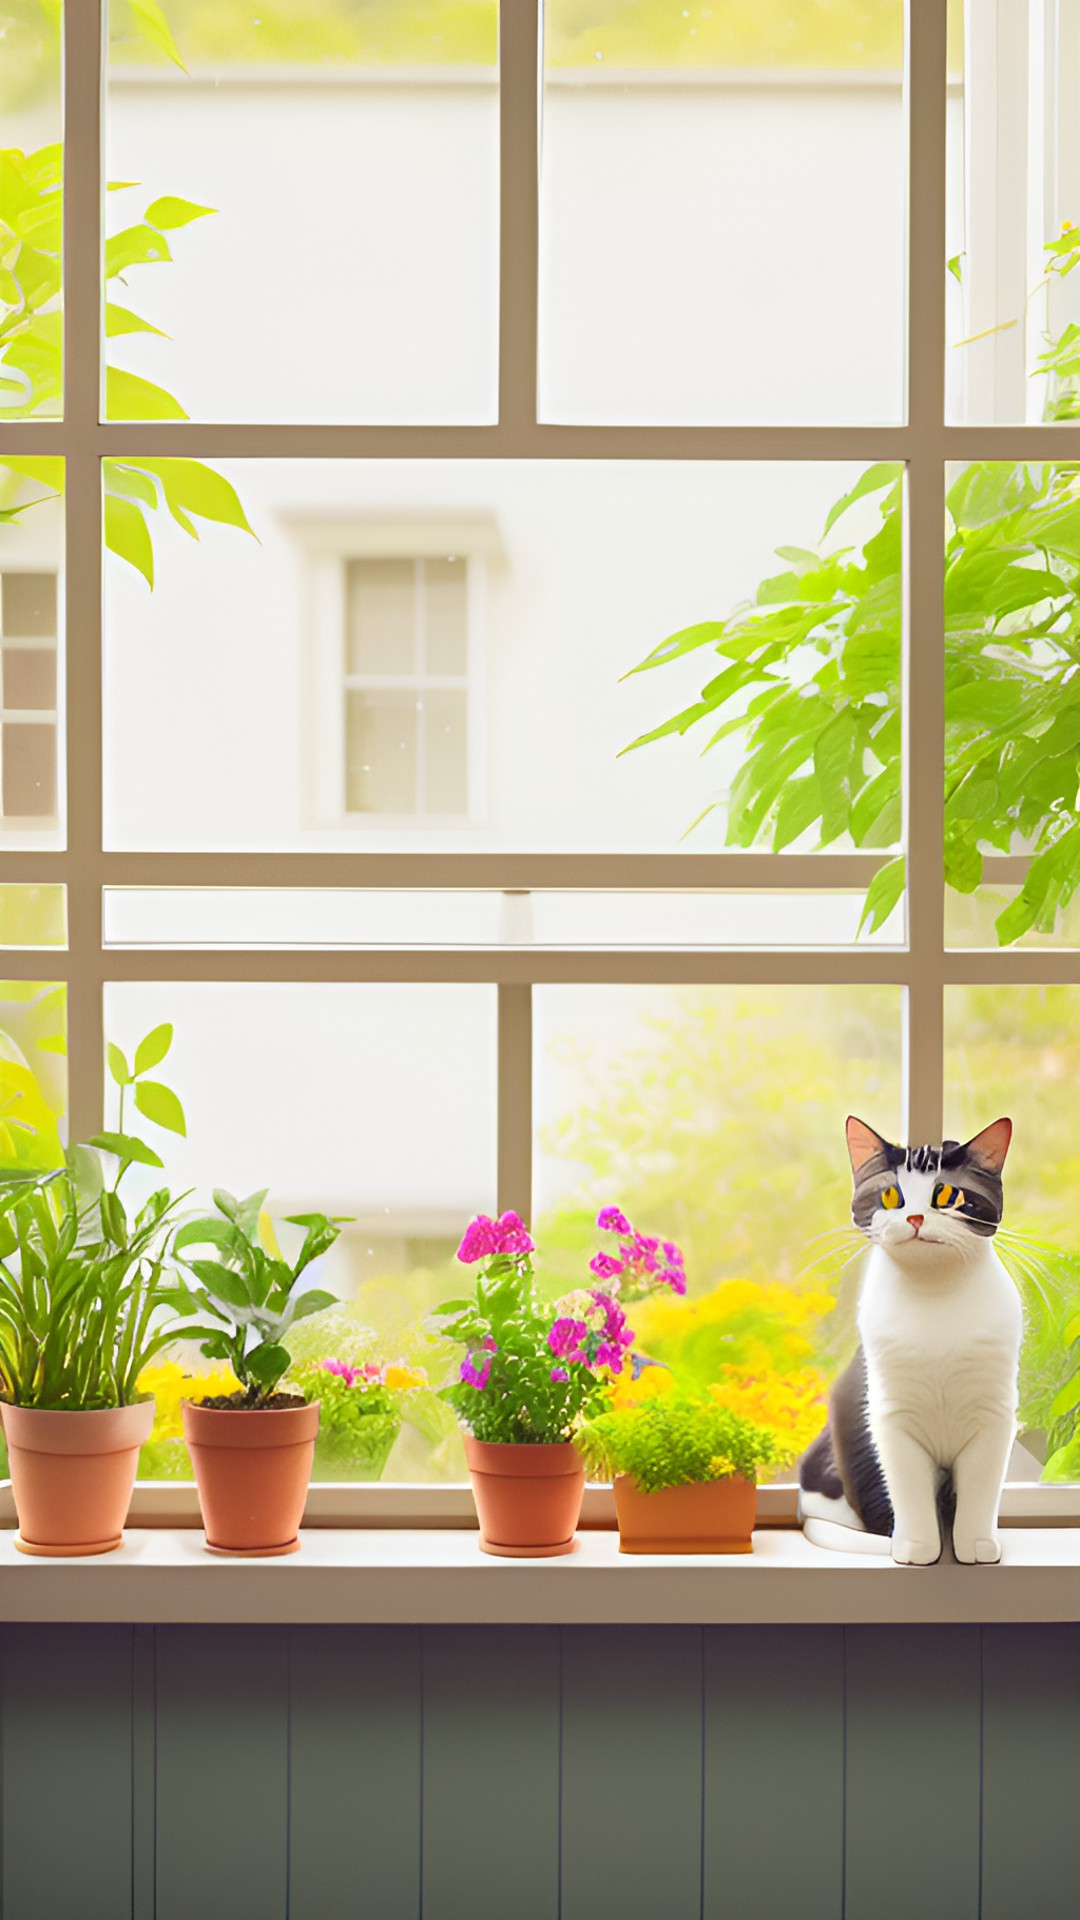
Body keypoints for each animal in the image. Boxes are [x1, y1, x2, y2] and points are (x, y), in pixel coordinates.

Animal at [799, 1121, 1014, 1566]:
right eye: (890, 1195)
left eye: (947, 1195)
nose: (915, 1216)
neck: (935, 1296)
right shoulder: (891, 1416)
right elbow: (908, 1491)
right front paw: (917, 1549)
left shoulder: (994, 1415)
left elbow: (981, 1490)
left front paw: (977, 1546)